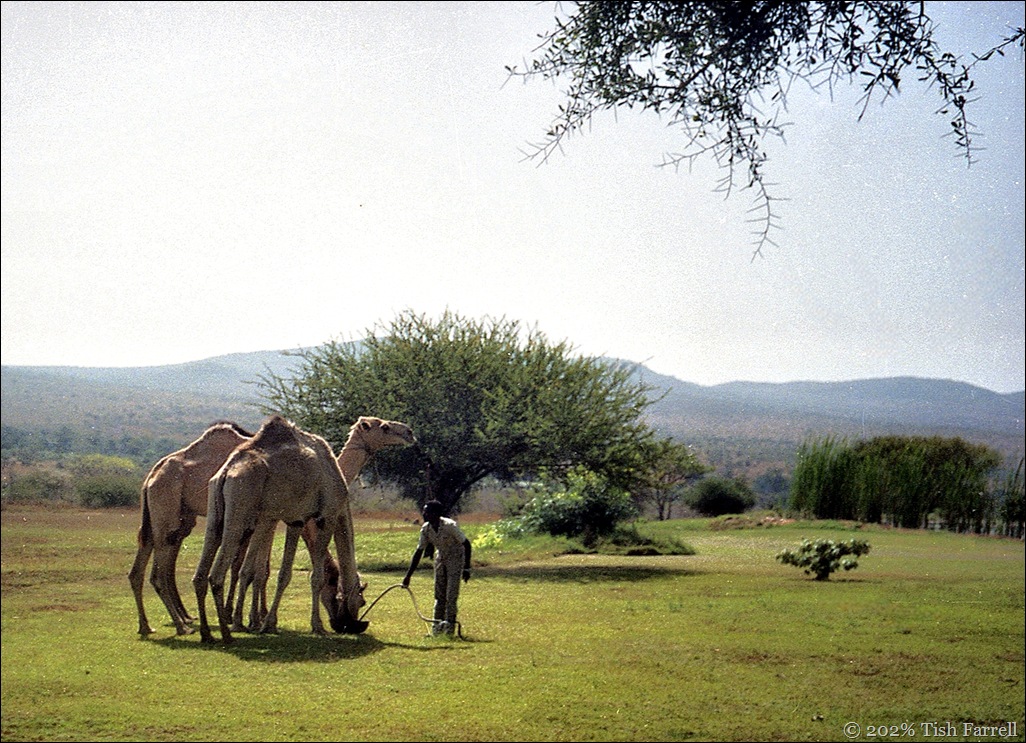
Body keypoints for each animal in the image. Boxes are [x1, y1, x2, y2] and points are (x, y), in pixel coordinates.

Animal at [128, 421, 254, 636]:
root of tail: (150, 478)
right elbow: (239, 567)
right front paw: (233, 617)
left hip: (166, 520)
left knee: (144, 569)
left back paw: (150, 625)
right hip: (166, 513)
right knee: (160, 572)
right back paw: (182, 625)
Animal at [193, 415, 415, 643]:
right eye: (385, 427)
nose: (409, 432)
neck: (336, 468)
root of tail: (227, 471)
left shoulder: (291, 520)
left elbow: (272, 573)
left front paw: (264, 622)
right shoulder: (324, 517)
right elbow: (313, 577)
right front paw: (316, 626)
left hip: (216, 509)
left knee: (203, 572)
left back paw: (208, 631)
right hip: (240, 506)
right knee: (217, 574)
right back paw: (226, 632)